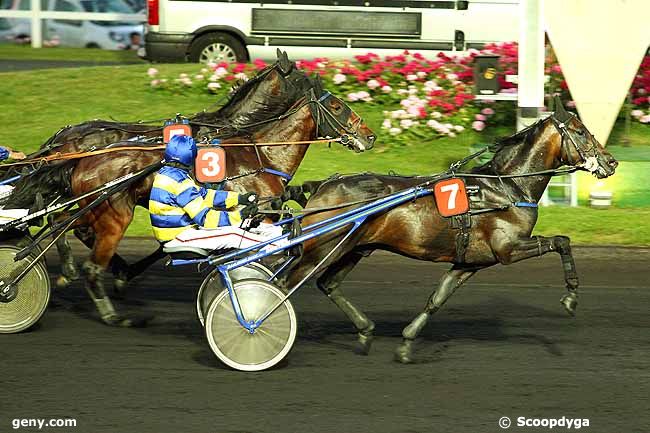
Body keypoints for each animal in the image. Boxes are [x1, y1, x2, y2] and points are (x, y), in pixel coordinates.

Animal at [3, 77, 374, 326]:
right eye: (338, 106)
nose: (369, 136)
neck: (258, 151)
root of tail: (70, 145)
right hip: (111, 210)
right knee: (81, 247)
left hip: (90, 205)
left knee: (60, 223)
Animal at [288, 103, 612, 362]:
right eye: (580, 131)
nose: (611, 162)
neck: (506, 187)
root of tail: (320, 185)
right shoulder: (508, 249)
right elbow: (561, 241)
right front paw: (570, 298)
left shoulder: (470, 262)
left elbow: (438, 298)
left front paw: (406, 343)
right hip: (320, 248)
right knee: (286, 281)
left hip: (352, 249)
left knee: (328, 284)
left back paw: (365, 331)